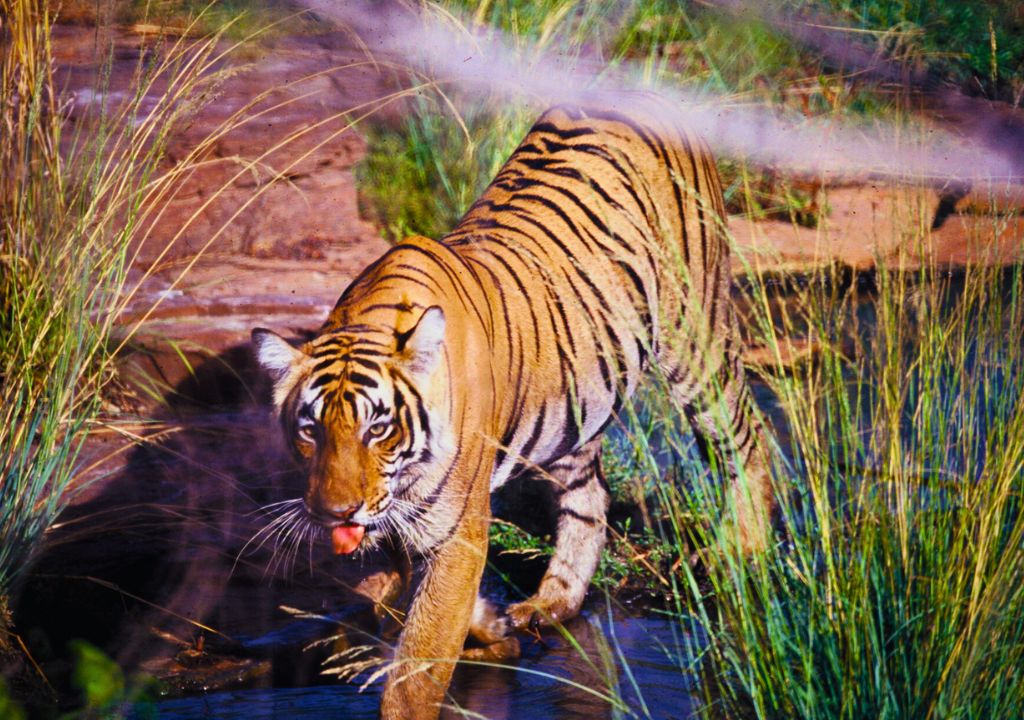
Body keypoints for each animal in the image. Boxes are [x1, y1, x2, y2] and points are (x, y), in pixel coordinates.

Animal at [251, 96, 775, 719]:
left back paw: (742, 552)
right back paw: (550, 603)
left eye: (377, 428)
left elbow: (419, 661)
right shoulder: (405, 525)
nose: (335, 514)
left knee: (747, 436)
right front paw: (494, 626)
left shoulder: (455, 528)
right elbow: (415, 599)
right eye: (310, 429)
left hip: (695, 336)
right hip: (576, 404)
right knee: (589, 499)